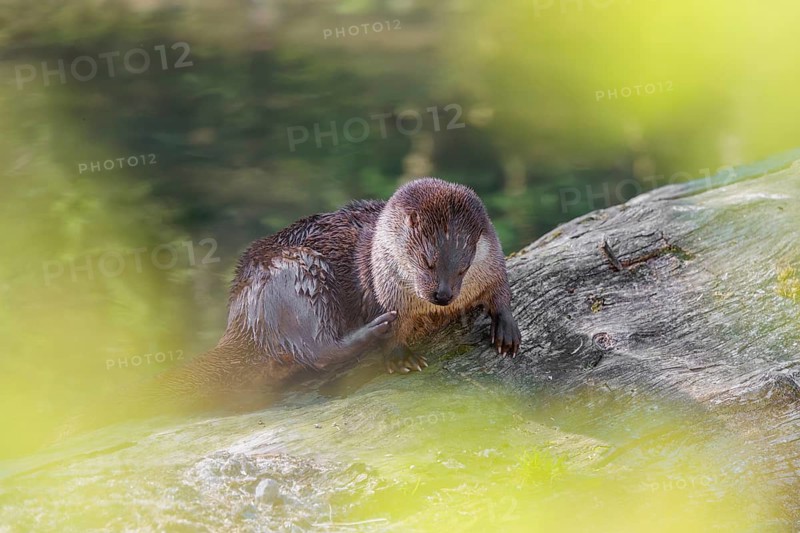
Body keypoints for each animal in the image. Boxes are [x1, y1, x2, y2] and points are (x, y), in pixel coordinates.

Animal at [155, 178, 520, 406]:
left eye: (463, 266)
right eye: (427, 262)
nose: (443, 296)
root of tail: (245, 317)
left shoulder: (492, 261)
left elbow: (501, 288)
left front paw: (507, 328)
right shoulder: (384, 290)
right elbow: (396, 328)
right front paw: (400, 355)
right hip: (299, 279)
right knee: (316, 350)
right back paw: (372, 330)